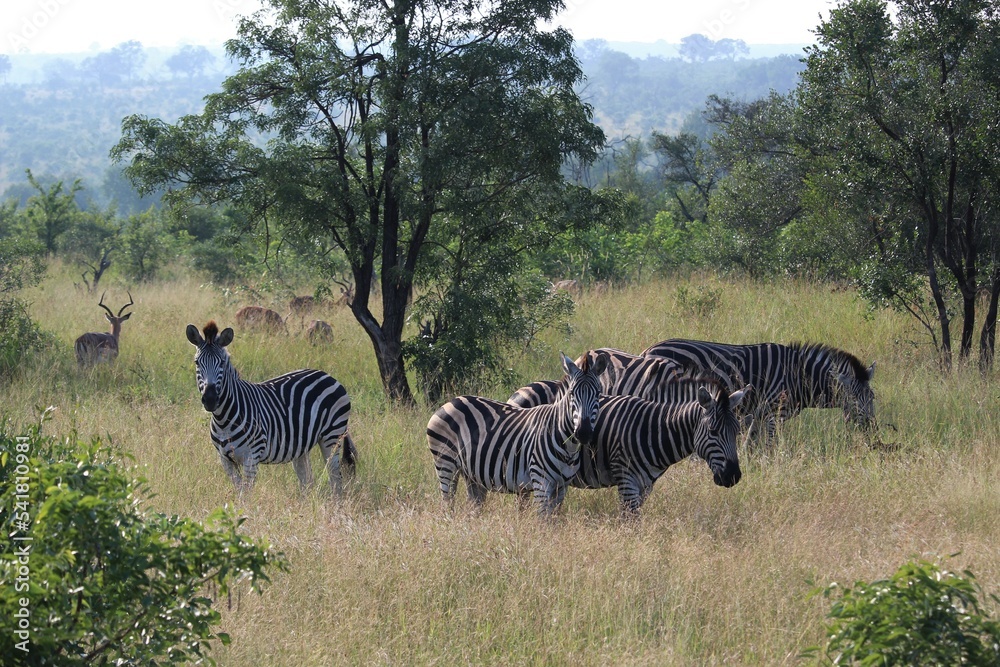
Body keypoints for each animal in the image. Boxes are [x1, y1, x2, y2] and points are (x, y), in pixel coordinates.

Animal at [185, 321, 356, 495]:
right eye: (197, 362)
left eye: (221, 363)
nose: (210, 399)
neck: (223, 419)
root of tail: (327, 375)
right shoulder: (225, 460)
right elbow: (239, 493)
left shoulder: (251, 457)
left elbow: (245, 496)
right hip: (301, 446)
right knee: (307, 481)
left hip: (332, 436)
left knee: (335, 479)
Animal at [426, 351, 608, 515]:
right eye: (571, 393)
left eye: (598, 393)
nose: (583, 432)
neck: (566, 444)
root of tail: (451, 401)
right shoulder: (541, 481)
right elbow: (543, 520)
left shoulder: (562, 487)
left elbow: (554, 520)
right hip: (446, 462)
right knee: (447, 502)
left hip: (470, 473)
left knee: (472, 505)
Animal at [574, 379, 748, 515]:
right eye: (713, 431)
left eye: (737, 431)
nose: (733, 476)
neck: (651, 432)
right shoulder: (626, 479)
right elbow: (631, 521)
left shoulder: (646, 485)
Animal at [641, 339, 876, 444]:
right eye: (855, 399)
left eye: (872, 398)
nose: (873, 430)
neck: (798, 376)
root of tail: (648, 349)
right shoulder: (775, 413)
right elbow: (770, 445)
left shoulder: (760, 415)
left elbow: (751, 445)